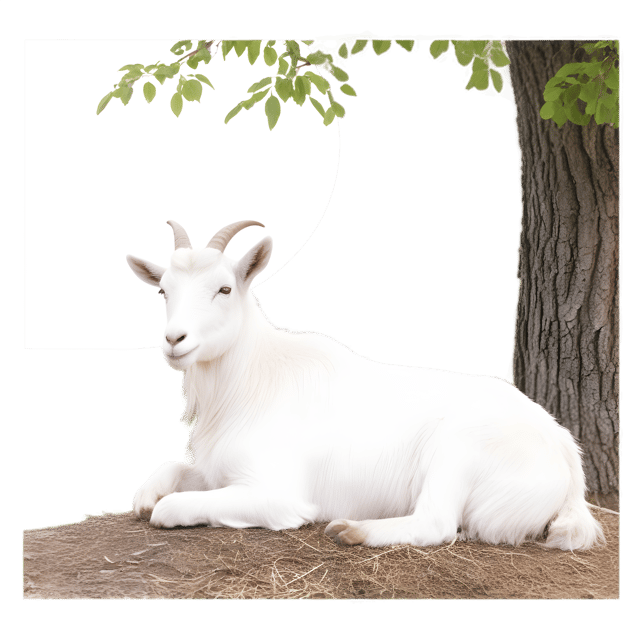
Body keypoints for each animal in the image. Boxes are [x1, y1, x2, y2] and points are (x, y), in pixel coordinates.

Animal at [126, 220, 604, 550]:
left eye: (224, 289)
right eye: (163, 290)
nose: (175, 340)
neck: (251, 384)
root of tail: (566, 452)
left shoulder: (277, 493)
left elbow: (170, 508)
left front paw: (160, 506)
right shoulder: (216, 471)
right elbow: (167, 472)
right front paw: (147, 494)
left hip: (459, 452)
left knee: (436, 523)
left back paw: (353, 530)